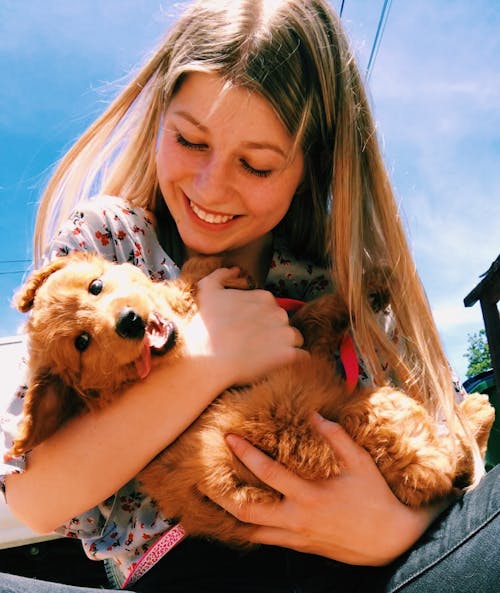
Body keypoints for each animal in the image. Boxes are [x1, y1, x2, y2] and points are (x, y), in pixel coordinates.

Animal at [8, 252, 495, 547]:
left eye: (96, 286)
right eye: (82, 342)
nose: (129, 322)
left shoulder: (303, 335)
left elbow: (315, 310)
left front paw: (370, 281)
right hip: (338, 415)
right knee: (433, 467)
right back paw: (472, 418)